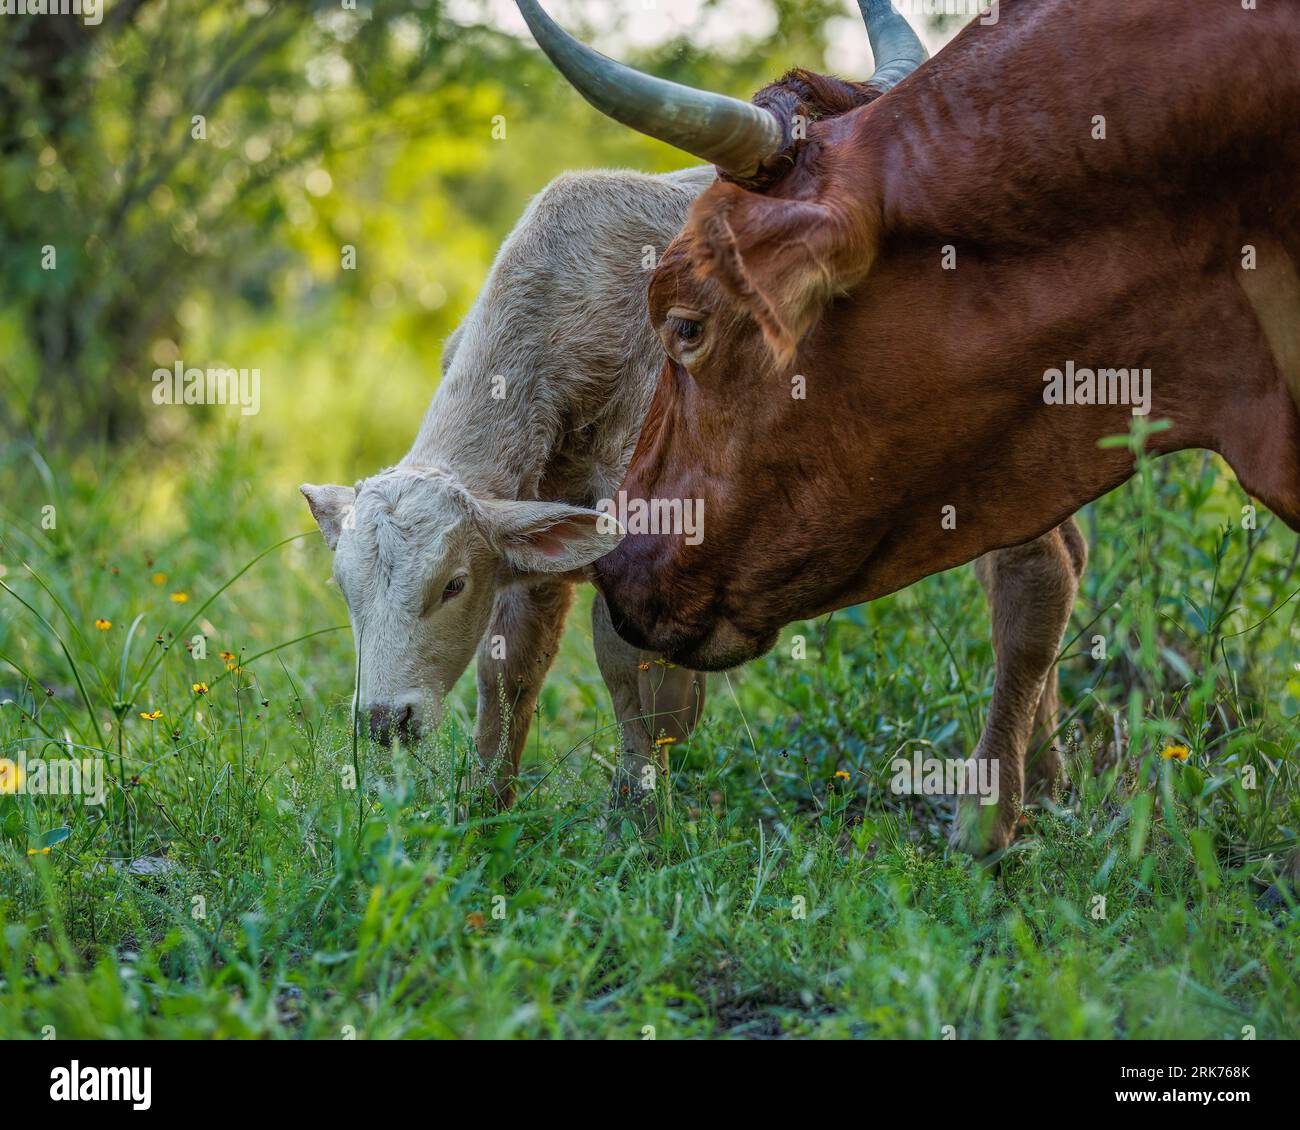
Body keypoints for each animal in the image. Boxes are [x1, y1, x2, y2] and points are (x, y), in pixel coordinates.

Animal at [300, 165, 714, 825]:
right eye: (344, 586)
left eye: (453, 585)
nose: (386, 722)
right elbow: (507, 673)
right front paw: (485, 806)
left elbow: (638, 689)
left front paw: (639, 820)